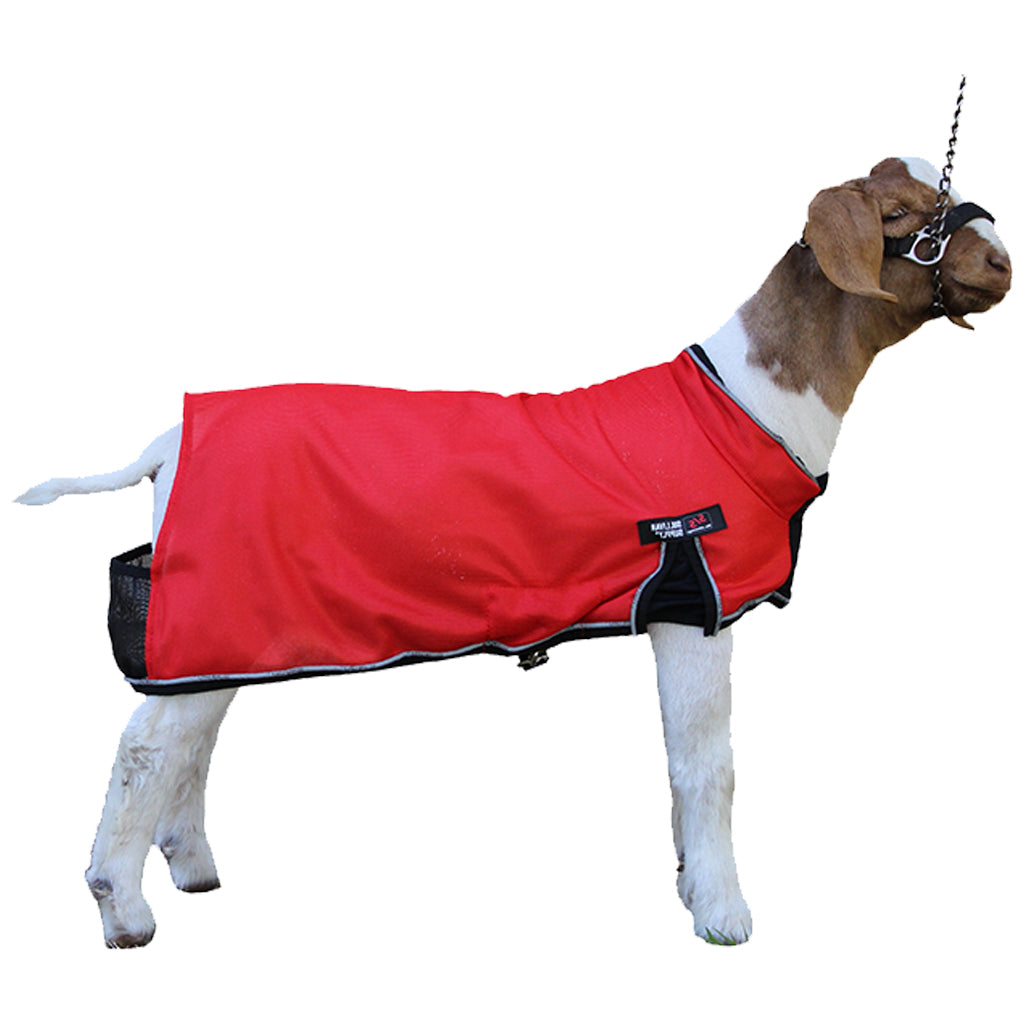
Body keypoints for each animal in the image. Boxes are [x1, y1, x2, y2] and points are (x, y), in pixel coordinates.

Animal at [17, 157, 1011, 948]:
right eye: (899, 215)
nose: (1002, 263)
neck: (745, 404)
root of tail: (165, 445)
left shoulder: (674, 612)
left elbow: (679, 762)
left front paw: (690, 882)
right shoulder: (697, 601)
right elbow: (709, 765)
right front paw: (724, 913)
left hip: (227, 613)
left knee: (192, 735)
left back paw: (191, 867)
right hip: (214, 600)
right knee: (147, 749)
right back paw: (122, 910)